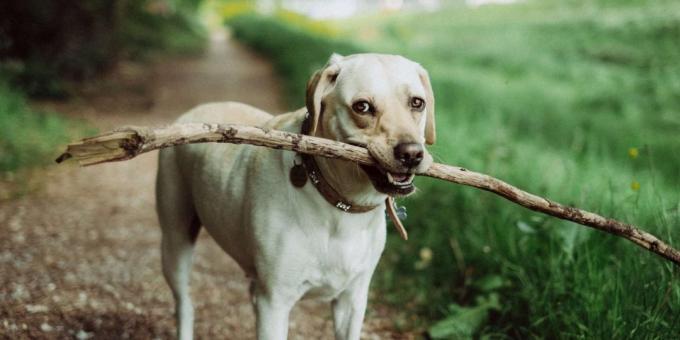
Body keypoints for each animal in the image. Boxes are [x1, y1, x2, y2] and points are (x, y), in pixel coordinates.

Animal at [155, 53, 436, 340]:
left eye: (417, 102)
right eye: (363, 107)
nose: (412, 154)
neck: (339, 204)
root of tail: (193, 111)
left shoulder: (352, 299)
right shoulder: (274, 302)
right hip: (176, 242)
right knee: (184, 302)